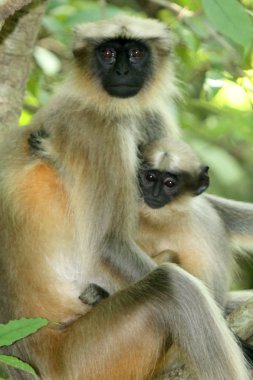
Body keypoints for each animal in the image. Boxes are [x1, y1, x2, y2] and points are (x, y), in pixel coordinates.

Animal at [0, 14, 250, 380]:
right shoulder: (101, 132)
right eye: (106, 53)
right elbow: (110, 245)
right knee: (173, 286)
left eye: (135, 53)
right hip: (83, 359)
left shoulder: (147, 119)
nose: (121, 71)